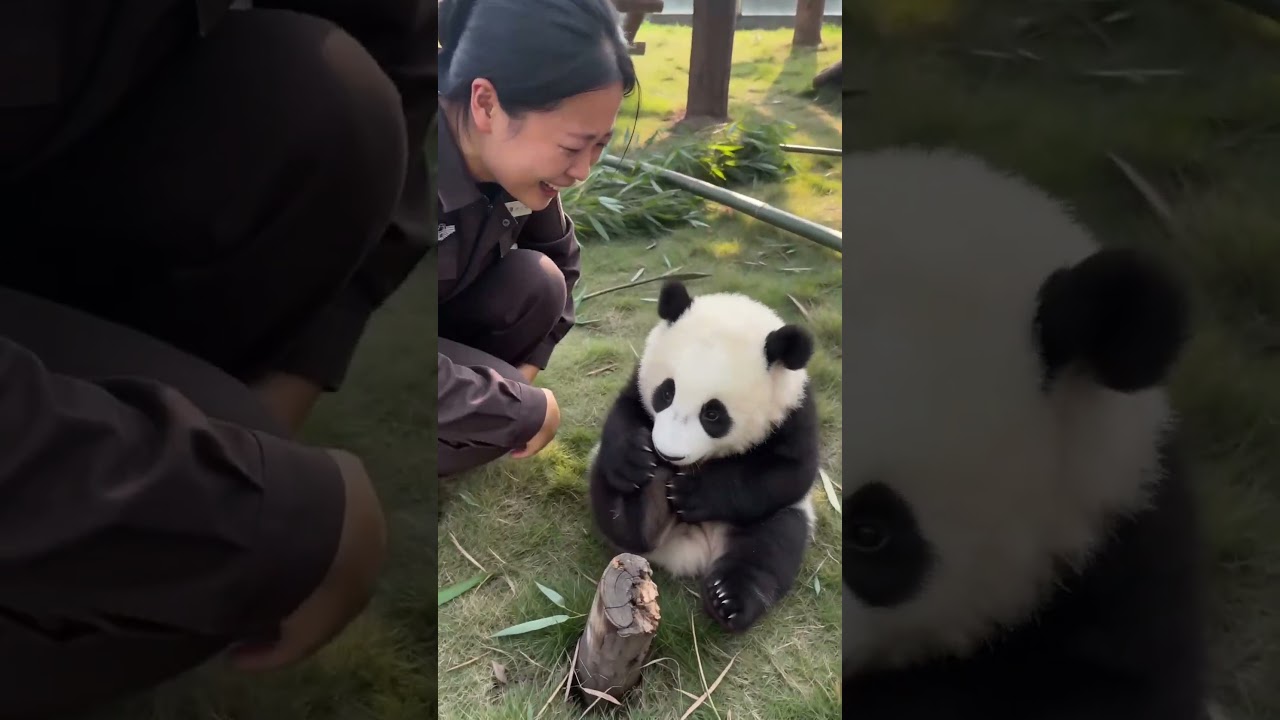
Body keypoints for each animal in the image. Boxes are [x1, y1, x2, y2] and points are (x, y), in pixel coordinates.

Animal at [587, 279, 822, 634]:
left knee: (770, 545)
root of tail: (691, 549)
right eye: (666, 392)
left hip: (774, 518)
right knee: (614, 507)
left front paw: (694, 491)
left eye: (713, 414)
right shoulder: (639, 381)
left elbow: (789, 472)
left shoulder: (793, 413)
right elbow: (624, 414)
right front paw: (636, 460)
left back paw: (728, 600)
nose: (667, 453)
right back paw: (646, 503)